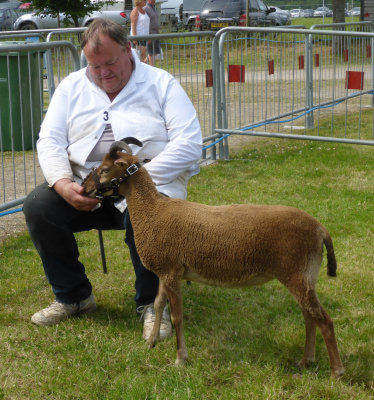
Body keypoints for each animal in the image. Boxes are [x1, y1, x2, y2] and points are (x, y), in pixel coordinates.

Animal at [82, 138, 344, 378]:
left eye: (105, 169)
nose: (84, 188)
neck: (152, 211)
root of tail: (321, 229)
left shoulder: (171, 272)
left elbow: (177, 316)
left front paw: (180, 359)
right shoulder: (166, 271)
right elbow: (157, 304)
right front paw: (151, 343)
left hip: (297, 274)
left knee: (323, 320)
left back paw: (336, 372)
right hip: (305, 276)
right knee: (309, 317)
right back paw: (306, 361)